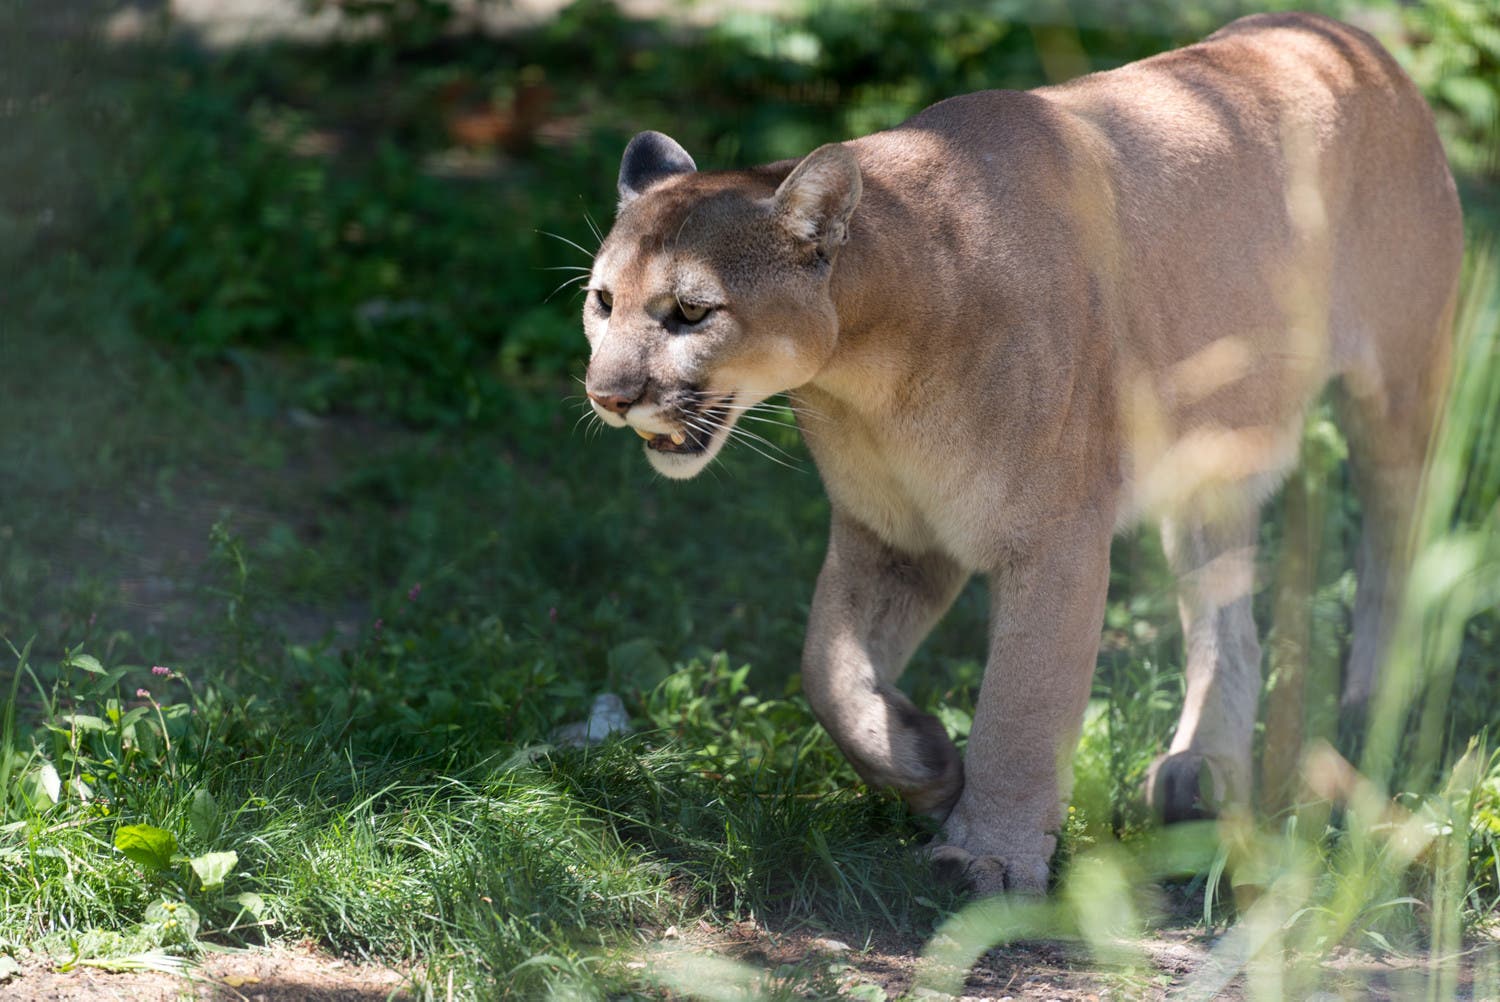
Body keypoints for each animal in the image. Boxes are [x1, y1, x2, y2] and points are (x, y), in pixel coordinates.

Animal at [579, 12, 1462, 893]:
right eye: (602, 301)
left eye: (693, 311)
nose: (608, 394)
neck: (866, 367)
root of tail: (1336, 30)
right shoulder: (892, 533)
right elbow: (825, 670)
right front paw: (922, 761)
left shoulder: (1053, 537)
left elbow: (1021, 702)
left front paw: (988, 854)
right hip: (1207, 454)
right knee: (1228, 618)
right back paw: (1202, 777)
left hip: (1397, 393)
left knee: (1397, 549)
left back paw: (1369, 716)